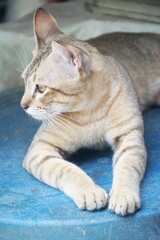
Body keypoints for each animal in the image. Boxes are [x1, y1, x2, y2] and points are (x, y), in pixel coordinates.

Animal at [20, 8, 160, 217]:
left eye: (42, 88)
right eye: (24, 82)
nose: (23, 105)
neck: (91, 112)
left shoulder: (130, 138)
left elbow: (128, 167)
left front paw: (123, 194)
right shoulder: (40, 149)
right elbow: (66, 170)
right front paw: (89, 192)